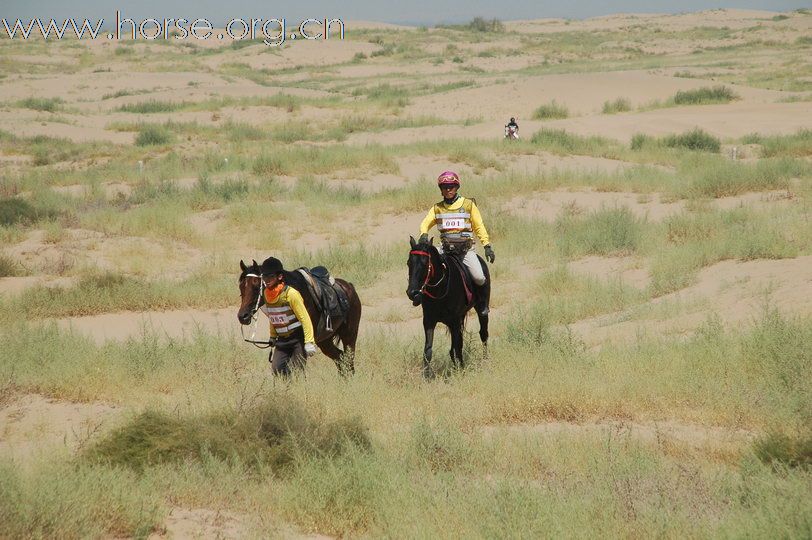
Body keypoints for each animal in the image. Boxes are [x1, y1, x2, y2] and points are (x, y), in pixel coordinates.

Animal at [406, 236, 488, 380]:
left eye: (425, 264)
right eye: (408, 263)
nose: (412, 293)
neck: (440, 289)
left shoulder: (454, 321)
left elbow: (457, 347)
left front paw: (461, 371)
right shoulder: (429, 321)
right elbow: (428, 350)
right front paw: (426, 376)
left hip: (480, 309)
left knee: (483, 334)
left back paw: (485, 360)